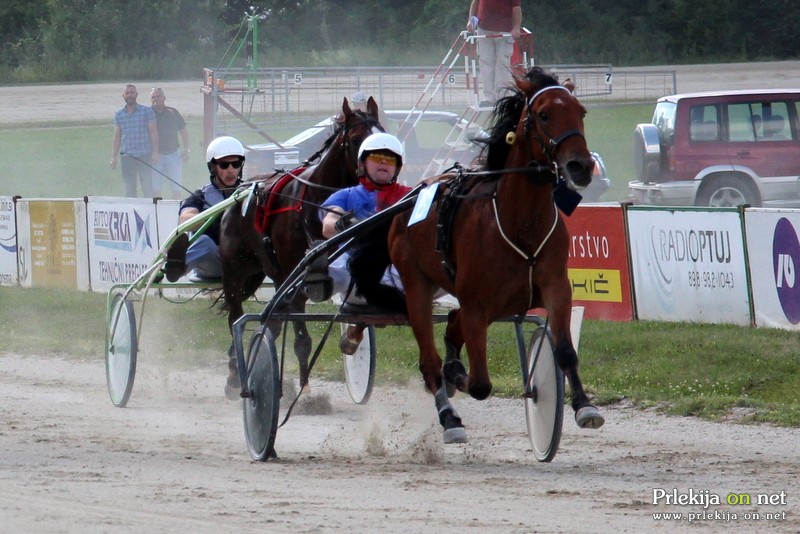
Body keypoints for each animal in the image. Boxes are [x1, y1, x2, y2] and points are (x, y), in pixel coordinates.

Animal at [217, 97, 382, 398]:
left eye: (382, 131)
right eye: (355, 139)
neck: (318, 205)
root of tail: (238, 195)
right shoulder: (297, 281)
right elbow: (302, 339)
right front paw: (305, 391)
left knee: (271, 322)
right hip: (235, 271)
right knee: (236, 314)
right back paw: (236, 375)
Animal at [384, 67, 604, 444]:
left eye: (582, 112)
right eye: (544, 114)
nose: (580, 166)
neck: (519, 223)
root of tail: (409, 198)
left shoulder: (556, 286)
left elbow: (564, 350)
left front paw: (584, 406)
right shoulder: (476, 305)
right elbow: (480, 384)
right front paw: (457, 378)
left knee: (452, 324)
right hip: (417, 287)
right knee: (430, 360)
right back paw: (449, 416)